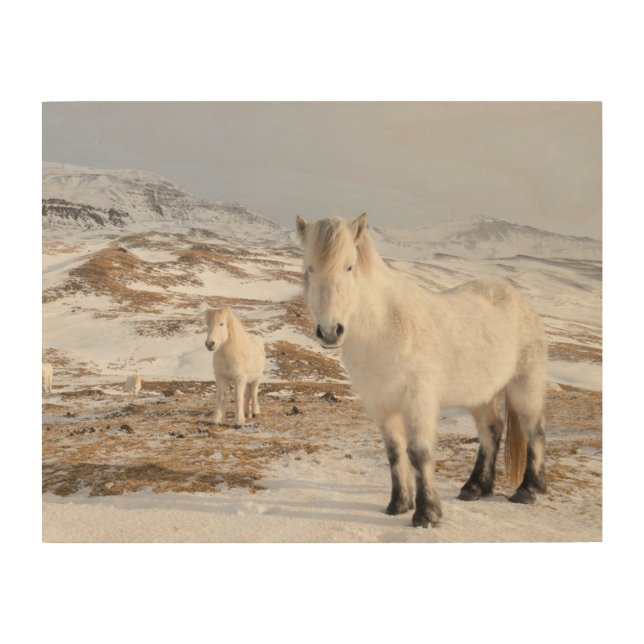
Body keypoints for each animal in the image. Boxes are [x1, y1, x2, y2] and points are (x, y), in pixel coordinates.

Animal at [296, 213, 548, 528]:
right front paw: (399, 504)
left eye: (349, 266)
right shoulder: (381, 405)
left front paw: (427, 514)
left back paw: (528, 490)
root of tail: (518, 299)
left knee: (534, 430)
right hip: (480, 395)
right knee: (491, 429)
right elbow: (394, 453)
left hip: (525, 385)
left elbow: (418, 453)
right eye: (310, 267)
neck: (384, 327)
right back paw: (475, 488)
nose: (330, 331)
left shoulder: (418, 402)